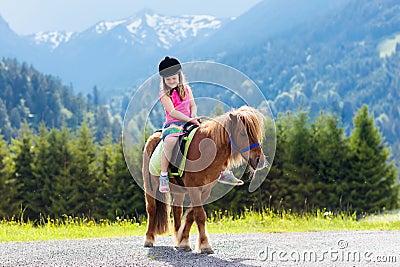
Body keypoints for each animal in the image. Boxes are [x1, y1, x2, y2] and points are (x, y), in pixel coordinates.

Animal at [141, 105, 266, 254]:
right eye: (242, 133)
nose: (259, 160)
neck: (206, 150)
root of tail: (153, 137)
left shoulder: (205, 190)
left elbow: (191, 214)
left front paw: (184, 241)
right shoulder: (194, 188)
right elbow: (200, 215)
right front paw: (205, 245)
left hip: (178, 190)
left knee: (177, 210)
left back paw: (176, 239)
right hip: (150, 185)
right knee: (152, 208)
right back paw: (148, 239)